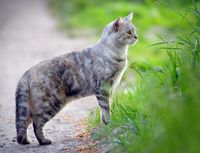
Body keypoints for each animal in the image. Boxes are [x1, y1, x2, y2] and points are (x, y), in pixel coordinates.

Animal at [15, 12, 138, 145]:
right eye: (129, 32)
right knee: (36, 123)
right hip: (50, 104)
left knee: (25, 123)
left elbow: (105, 110)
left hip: (29, 107)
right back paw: (44, 141)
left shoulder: (110, 89)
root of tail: (26, 74)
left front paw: (105, 124)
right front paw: (109, 124)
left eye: (134, 30)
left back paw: (25, 140)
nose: (136, 37)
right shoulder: (103, 88)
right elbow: (106, 108)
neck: (116, 52)